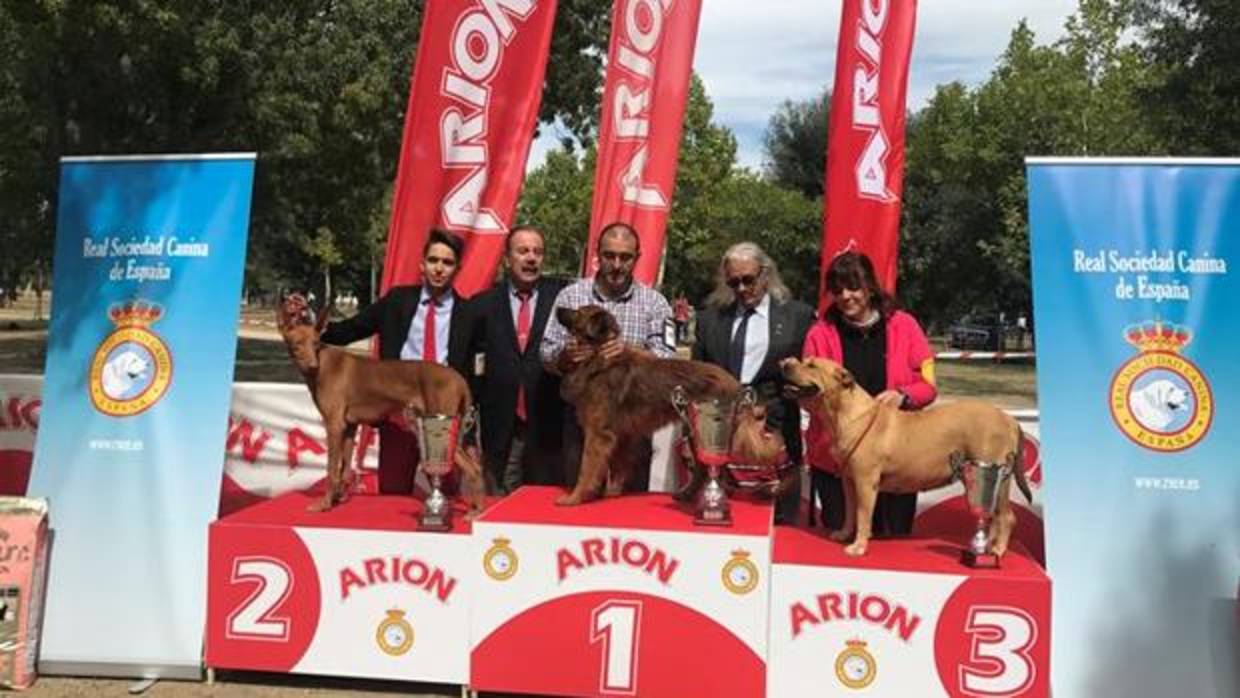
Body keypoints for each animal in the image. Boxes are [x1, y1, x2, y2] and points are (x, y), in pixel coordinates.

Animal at [276, 297, 483, 515]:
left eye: (315, 343)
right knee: (475, 466)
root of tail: (459, 377)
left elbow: (332, 469)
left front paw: (324, 504)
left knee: (473, 468)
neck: (323, 363)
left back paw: (477, 511)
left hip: (442, 430)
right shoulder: (349, 426)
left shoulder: (334, 425)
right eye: (297, 344)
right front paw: (338, 498)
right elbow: (345, 468)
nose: (312, 366)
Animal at [555, 306, 778, 508]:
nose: (558, 308)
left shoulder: (599, 434)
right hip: (696, 431)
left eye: (578, 312)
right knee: (704, 469)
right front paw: (612, 493)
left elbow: (587, 468)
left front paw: (575, 497)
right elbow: (618, 465)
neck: (600, 357)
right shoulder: (622, 435)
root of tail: (736, 385)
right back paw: (689, 495)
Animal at [778, 357, 1031, 560]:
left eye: (811, 365)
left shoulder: (865, 481)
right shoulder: (849, 481)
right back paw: (989, 547)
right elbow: (850, 511)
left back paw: (997, 550)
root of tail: (1008, 418)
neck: (844, 414)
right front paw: (844, 534)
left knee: (1006, 516)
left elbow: (862, 515)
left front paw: (859, 546)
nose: (785, 363)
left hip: (997, 475)